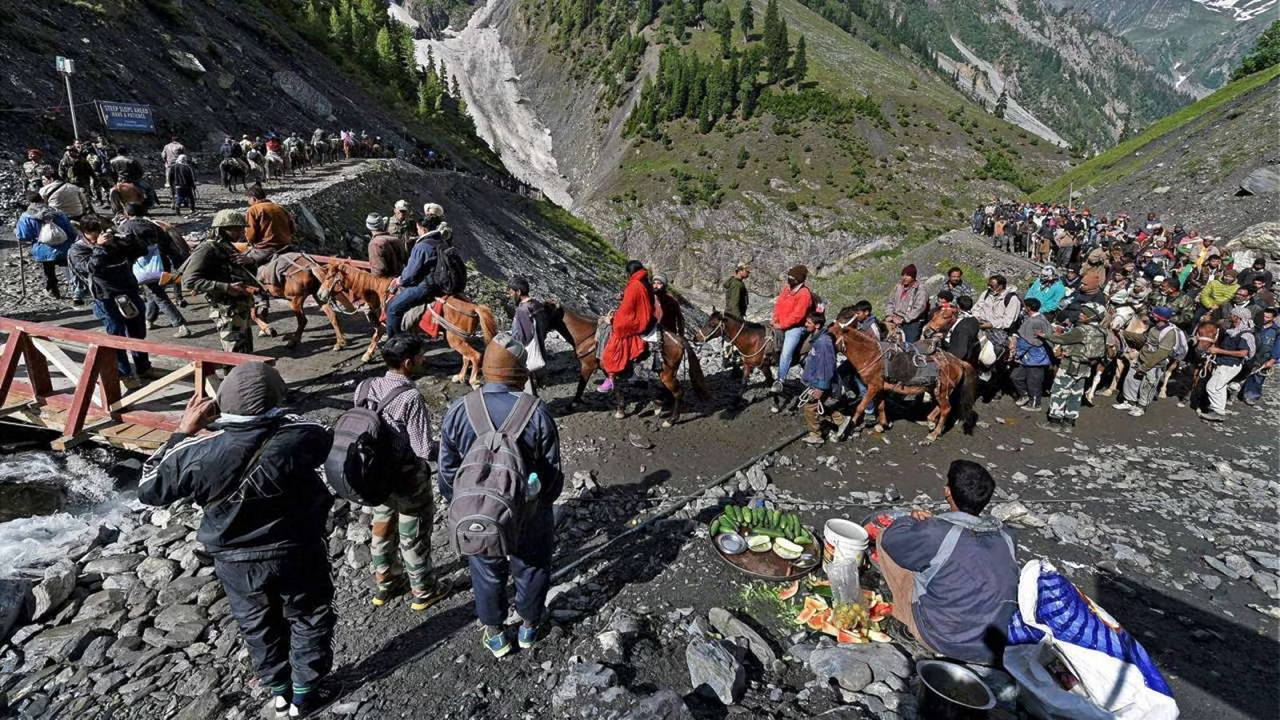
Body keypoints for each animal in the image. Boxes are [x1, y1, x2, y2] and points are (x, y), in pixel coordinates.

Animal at [829, 303, 977, 443]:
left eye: (830, 334)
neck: (870, 355)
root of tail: (958, 361)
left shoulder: (873, 387)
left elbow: (860, 407)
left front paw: (843, 433)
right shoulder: (881, 387)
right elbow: (881, 406)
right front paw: (882, 425)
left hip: (943, 389)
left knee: (946, 409)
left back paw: (933, 434)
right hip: (936, 389)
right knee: (940, 406)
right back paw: (930, 421)